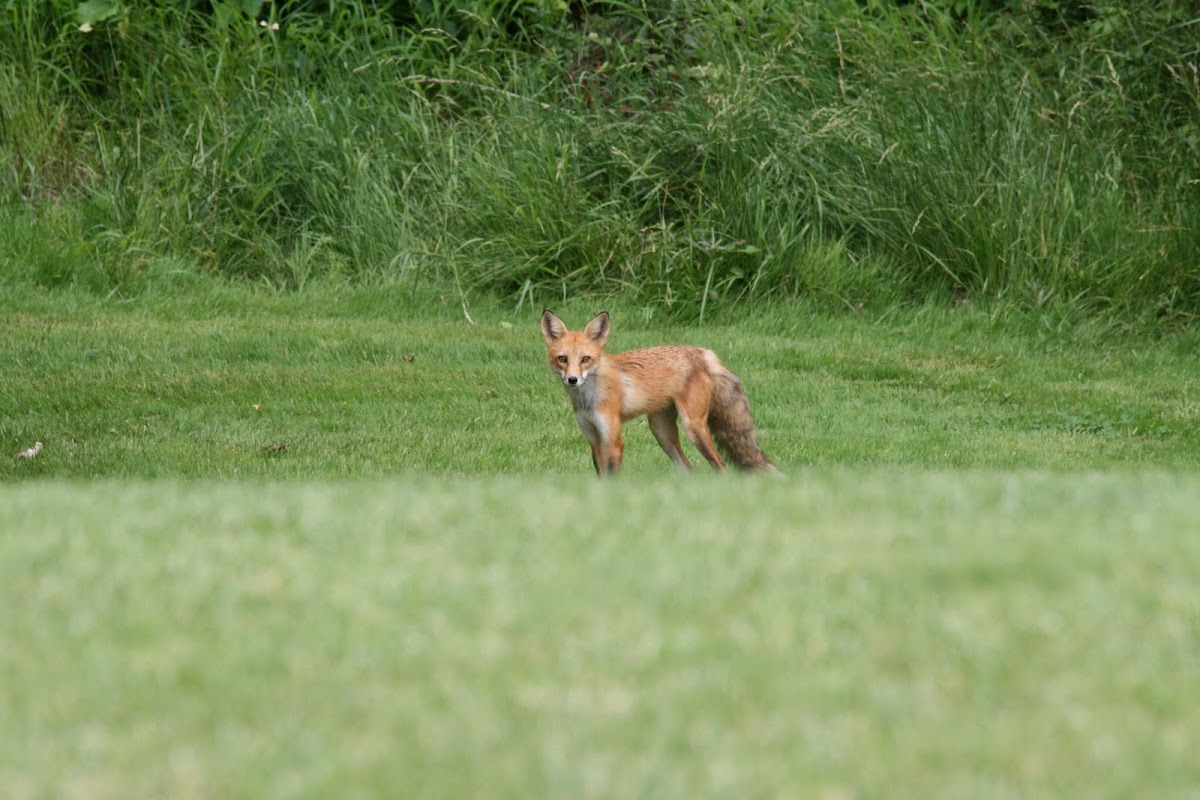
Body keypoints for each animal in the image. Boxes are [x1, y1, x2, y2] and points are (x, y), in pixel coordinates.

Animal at [540, 309, 777, 476]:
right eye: (563, 359)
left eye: (585, 359)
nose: (572, 379)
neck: (588, 399)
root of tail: (702, 352)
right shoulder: (594, 438)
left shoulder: (613, 441)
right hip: (661, 431)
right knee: (687, 468)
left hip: (694, 428)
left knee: (721, 466)